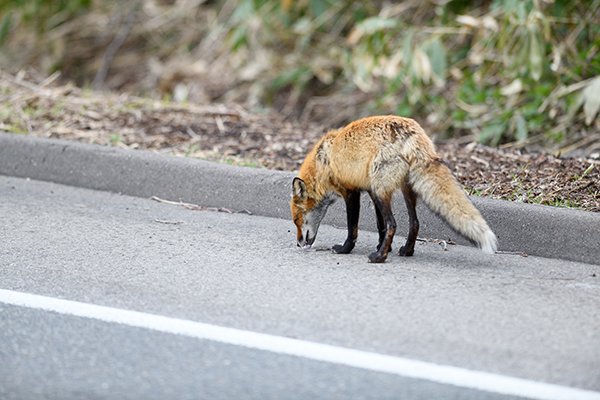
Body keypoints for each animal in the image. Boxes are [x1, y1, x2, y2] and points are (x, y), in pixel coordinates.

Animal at [290, 115, 496, 262]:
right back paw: (406, 250)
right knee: (414, 223)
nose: (299, 244)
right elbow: (380, 226)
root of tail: (415, 134)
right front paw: (384, 246)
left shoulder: (352, 192)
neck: (323, 163)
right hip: (403, 190)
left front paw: (346, 249)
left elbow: (353, 228)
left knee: (393, 224)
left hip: (383, 191)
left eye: (297, 220)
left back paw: (379, 258)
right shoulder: (371, 191)